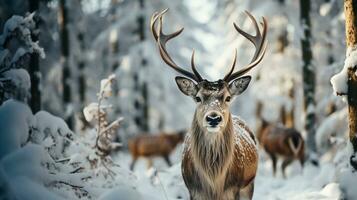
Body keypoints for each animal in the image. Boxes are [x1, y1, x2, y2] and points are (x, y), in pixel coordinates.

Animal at [149, 8, 266, 199]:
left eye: (228, 97)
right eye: (197, 98)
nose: (213, 118)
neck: (214, 185)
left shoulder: (236, 188)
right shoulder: (193, 190)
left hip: (249, 184)